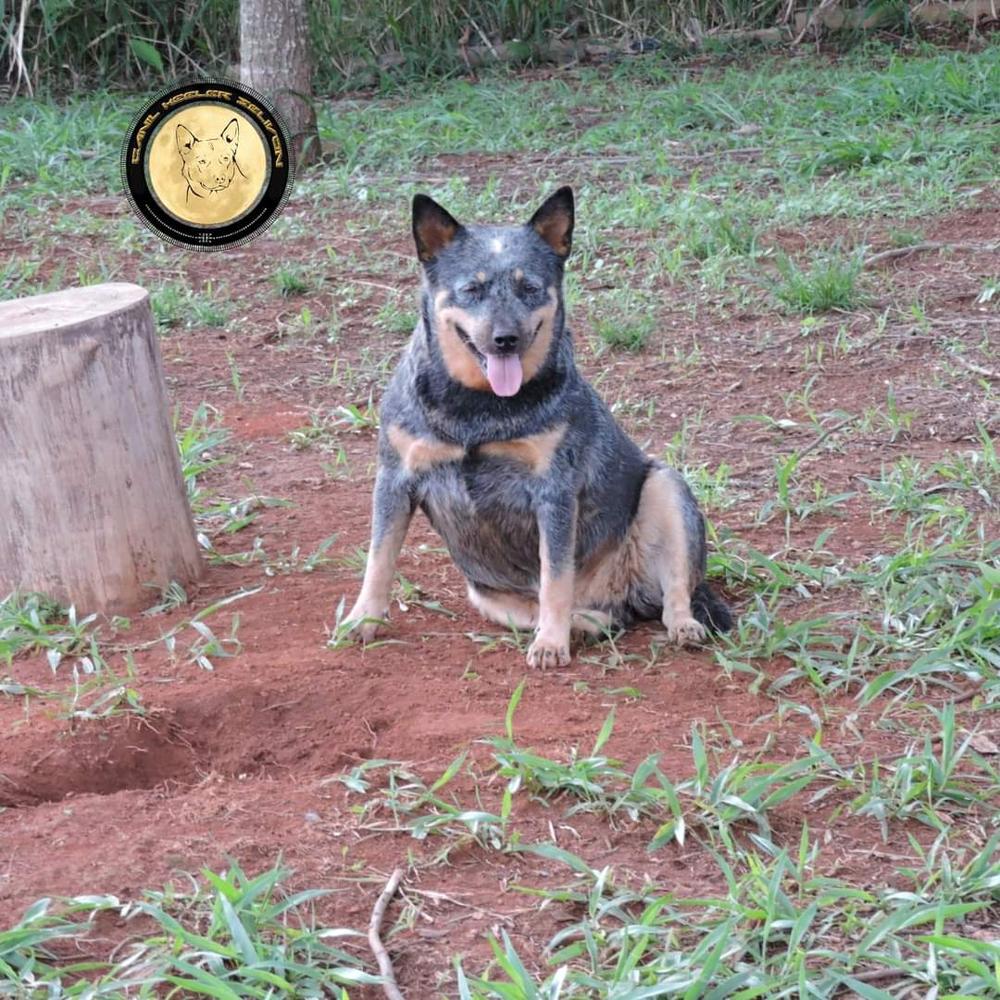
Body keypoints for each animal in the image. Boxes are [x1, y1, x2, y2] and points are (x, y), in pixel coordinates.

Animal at [348, 187, 732, 664]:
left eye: (529, 288)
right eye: (472, 289)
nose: (505, 339)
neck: (477, 410)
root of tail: (618, 594)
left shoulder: (554, 490)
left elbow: (555, 578)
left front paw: (551, 643)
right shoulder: (395, 478)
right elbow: (378, 558)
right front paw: (362, 619)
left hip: (666, 485)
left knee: (673, 591)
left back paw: (676, 625)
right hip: (485, 594)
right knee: (586, 615)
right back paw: (586, 625)